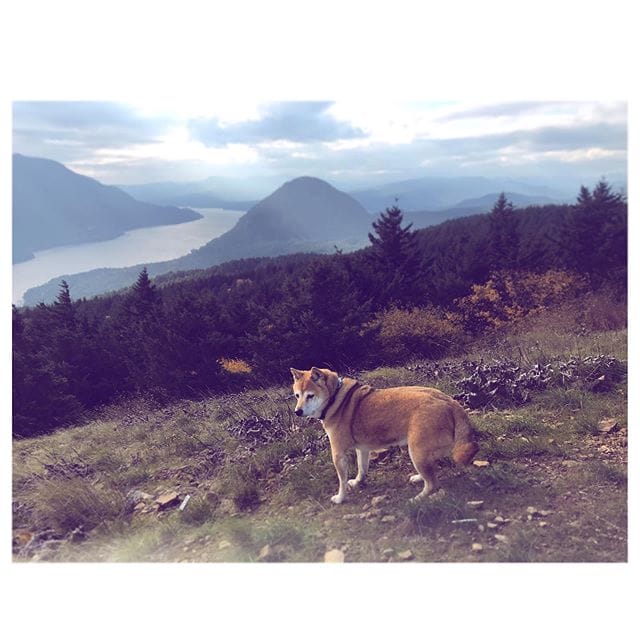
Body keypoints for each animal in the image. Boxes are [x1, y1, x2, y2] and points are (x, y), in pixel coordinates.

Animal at [290, 366, 479, 504]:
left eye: (310, 396)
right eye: (297, 395)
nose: (297, 412)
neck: (335, 398)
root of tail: (450, 401)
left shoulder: (338, 454)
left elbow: (341, 481)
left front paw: (340, 498)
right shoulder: (362, 449)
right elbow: (362, 469)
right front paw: (358, 482)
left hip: (416, 451)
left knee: (433, 483)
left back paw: (417, 499)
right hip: (423, 451)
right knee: (432, 469)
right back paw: (419, 478)